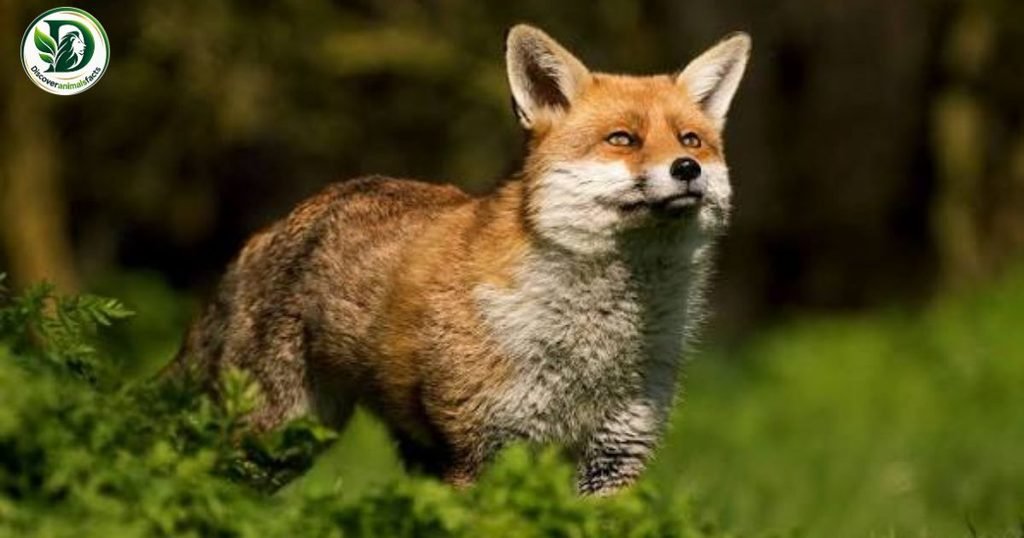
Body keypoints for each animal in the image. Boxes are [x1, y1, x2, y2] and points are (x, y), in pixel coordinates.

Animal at [172, 24, 751, 495]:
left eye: (691, 139)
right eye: (622, 139)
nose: (687, 168)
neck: (593, 345)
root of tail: (269, 229)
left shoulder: (615, 455)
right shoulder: (481, 451)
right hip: (279, 436)